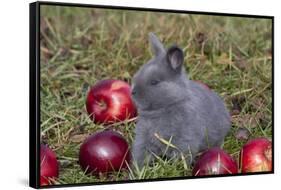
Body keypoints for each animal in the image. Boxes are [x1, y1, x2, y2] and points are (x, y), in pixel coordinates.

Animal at [131, 33, 230, 167]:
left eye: (154, 82)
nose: (133, 92)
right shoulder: (142, 140)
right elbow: (140, 155)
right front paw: (136, 169)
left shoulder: (184, 141)